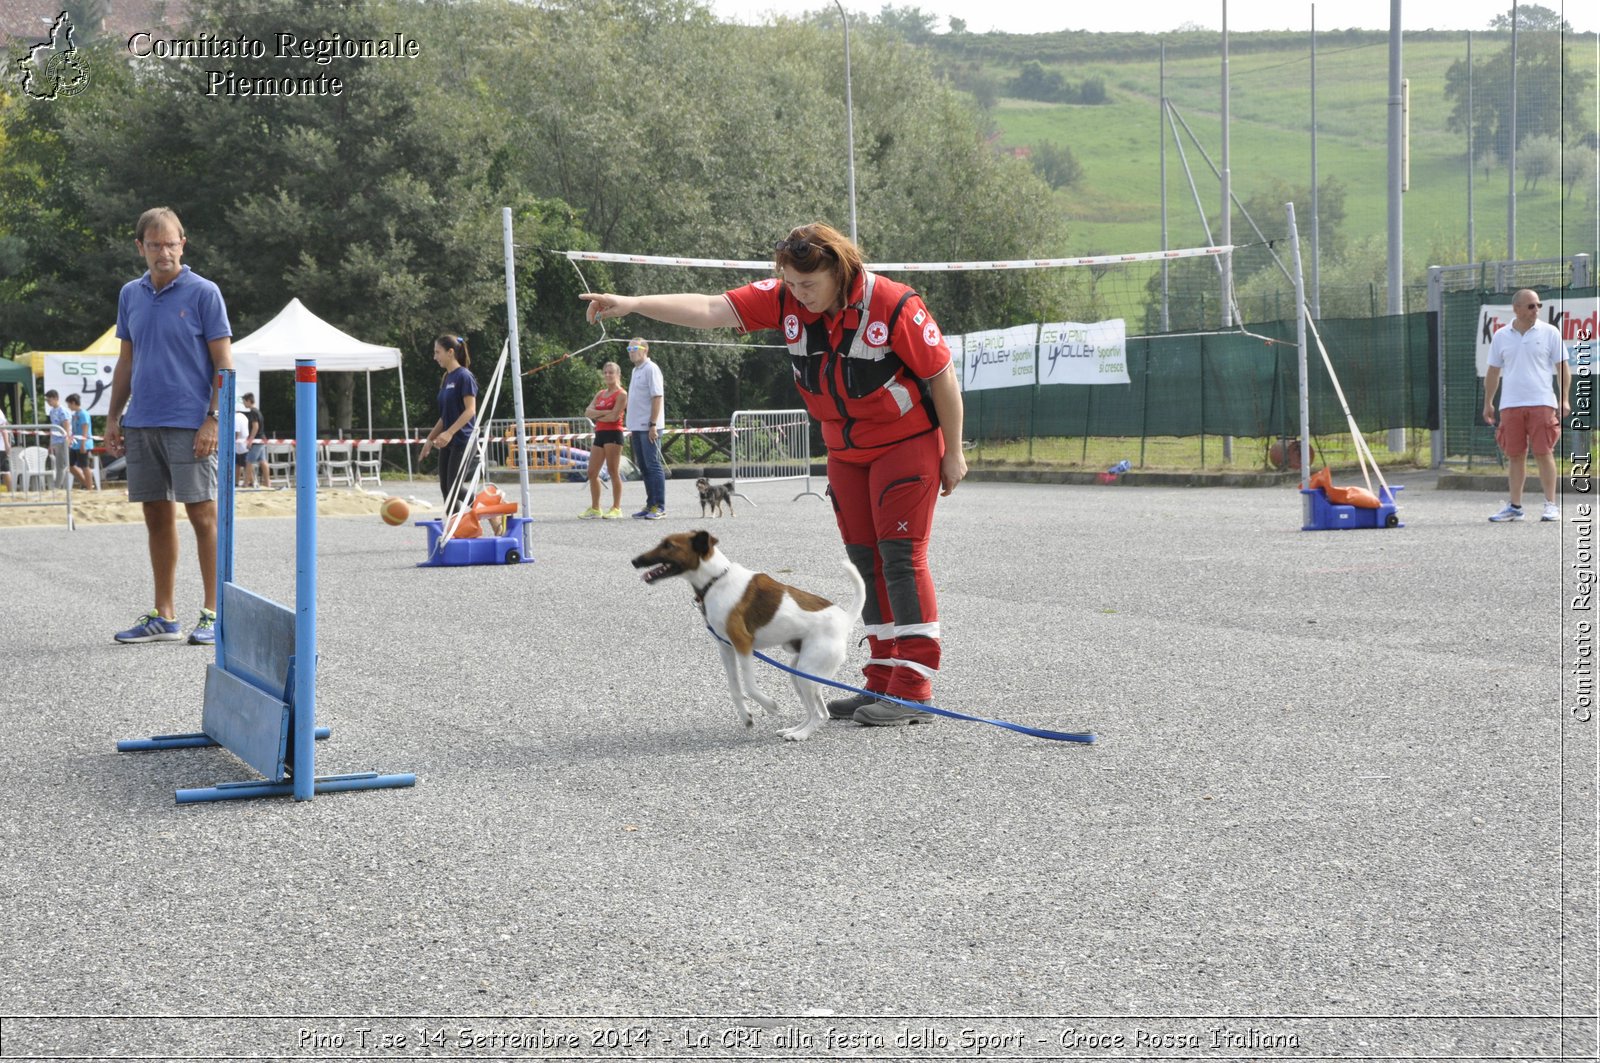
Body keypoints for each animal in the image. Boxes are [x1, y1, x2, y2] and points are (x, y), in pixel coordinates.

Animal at [633, 528, 864, 742]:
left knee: (820, 714)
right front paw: (746, 716)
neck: (715, 580)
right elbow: (735, 688)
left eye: (669, 546)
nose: (634, 561)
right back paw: (794, 730)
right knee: (816, 711)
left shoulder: (743, 644)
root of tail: (845, 620)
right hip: (799, 673)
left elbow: (750, 686)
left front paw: (770, 706)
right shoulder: (725, 647)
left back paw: (801, 735)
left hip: (807, 672)